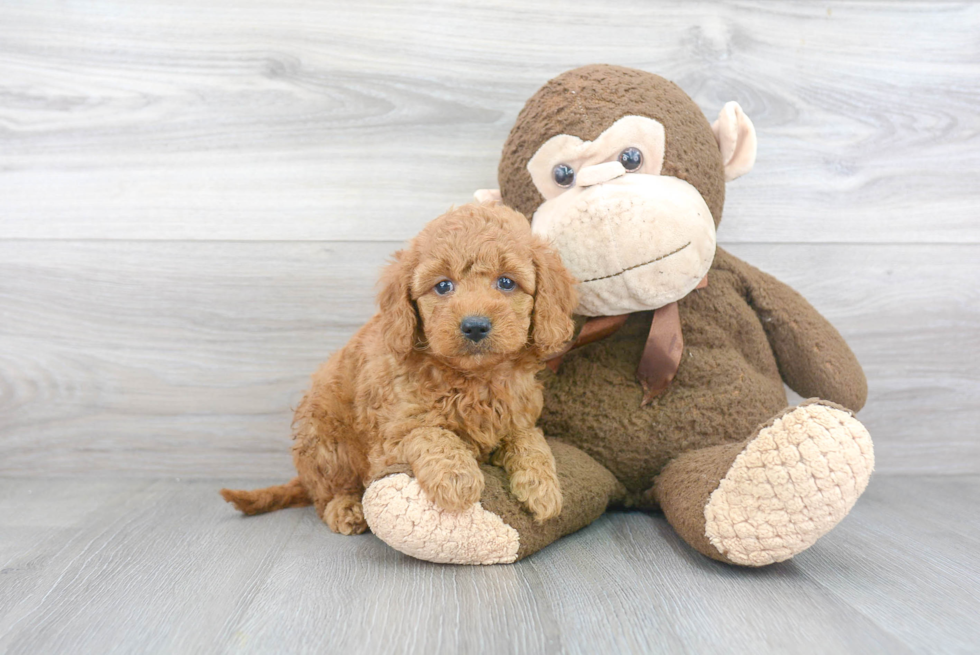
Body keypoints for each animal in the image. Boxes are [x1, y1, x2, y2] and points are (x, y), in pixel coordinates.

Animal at [218, 205, 580, 540]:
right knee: (326, 491)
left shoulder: (519, 416)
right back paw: (345, 508)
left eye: (506, 282)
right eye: (443, 286)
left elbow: (529, 439)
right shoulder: (390, 438)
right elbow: (431, 434)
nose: (475, 326)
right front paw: (457, 478)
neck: (475, 378)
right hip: (324, 438)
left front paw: (543, 487)